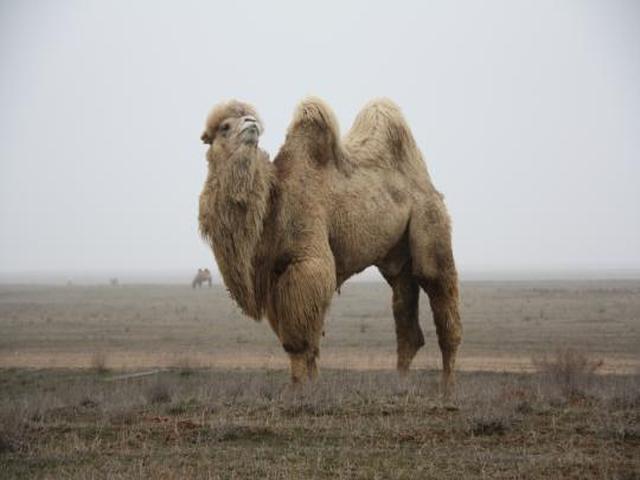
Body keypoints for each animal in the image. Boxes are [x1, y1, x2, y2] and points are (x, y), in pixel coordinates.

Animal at [198, 98, 462, 392]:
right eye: (224, 127)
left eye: (247, 118)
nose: (251, 124)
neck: (273, 204)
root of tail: (428, 185)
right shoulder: (274, 278)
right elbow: (307, 340)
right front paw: (312, 384)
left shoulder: (308, 262)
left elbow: (299, 339)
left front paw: (298, 388)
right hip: (397, 258)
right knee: (406, 317)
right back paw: (400, 383)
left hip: (430, 219)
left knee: (438, 289)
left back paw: (447, 385)